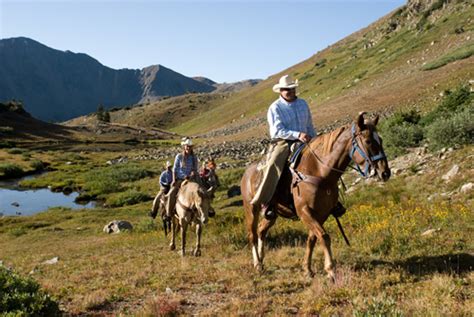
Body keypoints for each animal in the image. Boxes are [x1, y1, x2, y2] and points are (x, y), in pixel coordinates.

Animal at [243, 112, 390, 280]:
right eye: (368, 141)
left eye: (381, 140)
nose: (385, 173)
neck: (319, 172)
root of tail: (246, 173)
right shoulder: (304, 212)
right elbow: (324, 236)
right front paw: (330, 270)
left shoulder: (322, 213)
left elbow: (312, 239)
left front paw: (307, 269)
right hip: (251, 209)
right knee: (252, 234)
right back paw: (257, 264)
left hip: (272, 214)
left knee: (262, 230)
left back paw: (261, 260)